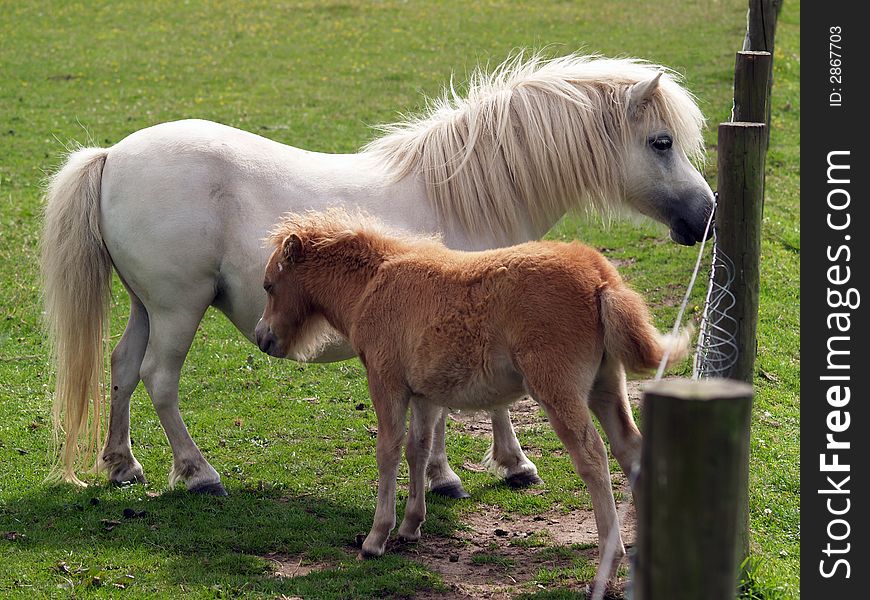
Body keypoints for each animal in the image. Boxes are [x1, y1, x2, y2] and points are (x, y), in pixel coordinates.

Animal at [41, 54, 716, 496]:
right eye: (661, 142)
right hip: (179, 309)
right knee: (159, 378)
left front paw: (499, 465)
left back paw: (122, 466)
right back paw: (198, 473)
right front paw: (465, 473)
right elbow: (461, 409)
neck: (466, 197)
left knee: (123, 367)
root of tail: (113, 156)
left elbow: (475, 402)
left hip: (147, 305)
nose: (706, 216)